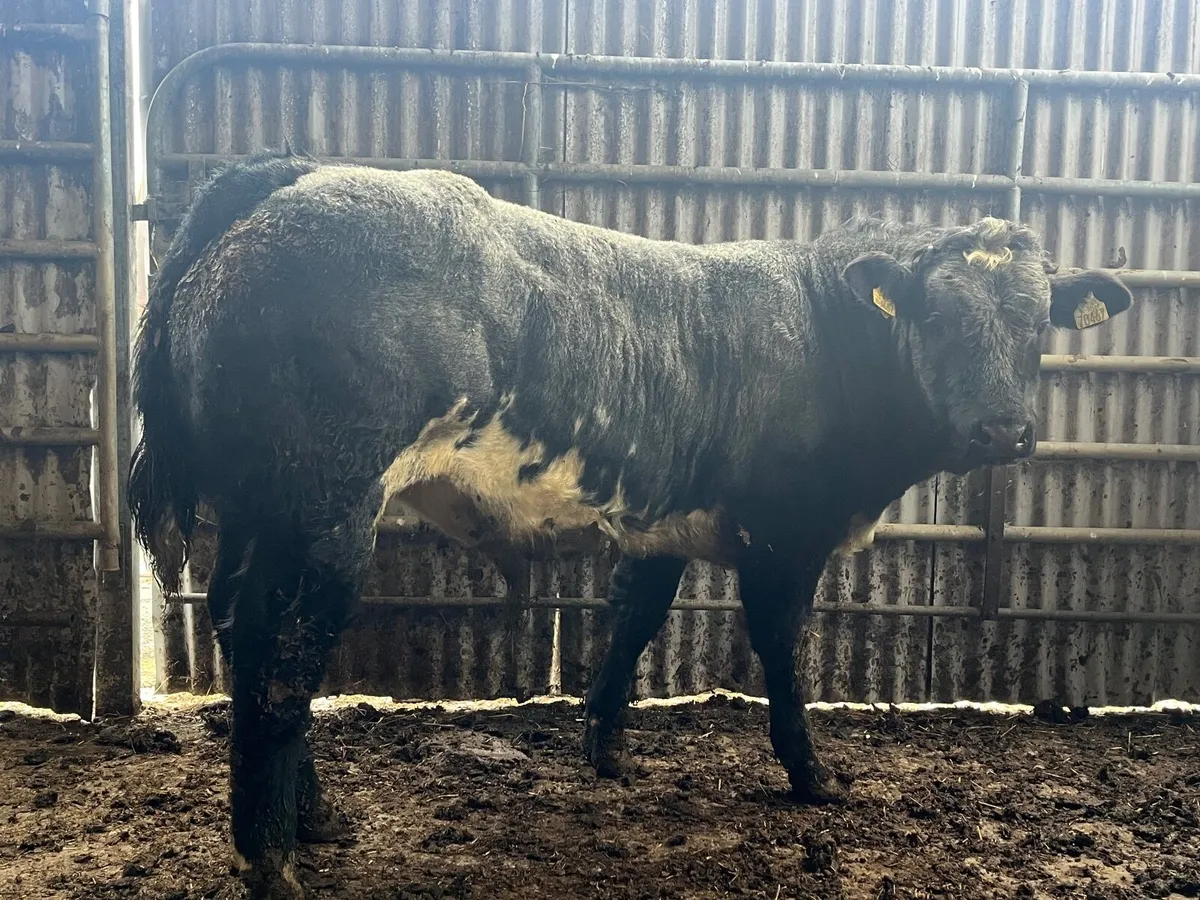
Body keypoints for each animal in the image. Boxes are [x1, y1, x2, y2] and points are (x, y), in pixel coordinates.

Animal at [128, 149, 1131, 898]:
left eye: (1036, 324)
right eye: (938, 318)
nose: (1002, 430)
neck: (824, 331)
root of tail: (291, 178)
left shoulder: (660, 528)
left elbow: (634, 622)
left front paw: (604, 749)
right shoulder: (785, 534)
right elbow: (781, 649)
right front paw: (812, 776)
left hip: (258, 510)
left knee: (239, 628)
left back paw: (315, 820)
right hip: (327, 509)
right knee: (281, 654)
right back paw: (271, 860)